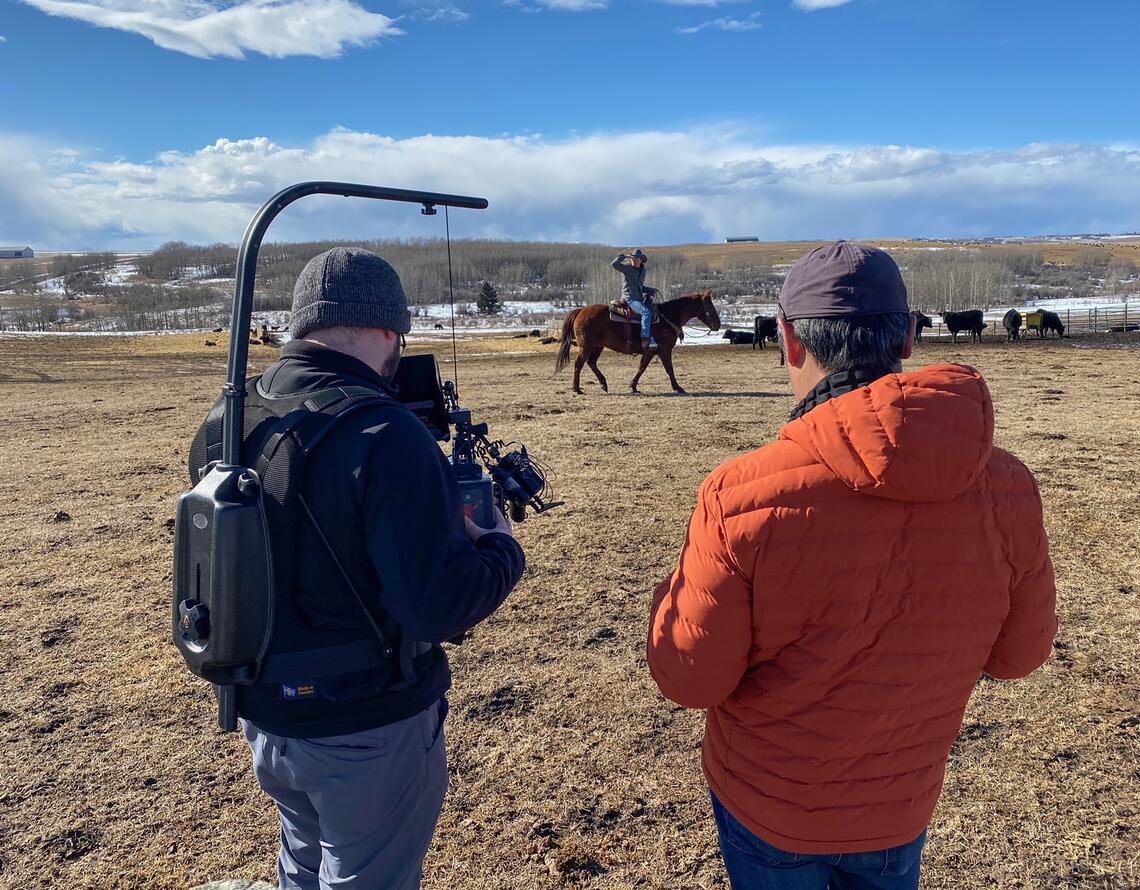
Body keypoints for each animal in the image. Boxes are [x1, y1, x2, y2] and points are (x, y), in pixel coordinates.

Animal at [554, 289, 720, 394]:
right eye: (710, 306)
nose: (718, 325)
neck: (667, 317)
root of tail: (580, 311)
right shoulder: (664, 350)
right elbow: (669, 369)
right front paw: (678, 387)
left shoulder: (651, 351)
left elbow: (642, 368)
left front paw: (633, 386)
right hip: (587, 346)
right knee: (579, 364)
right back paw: (577, 389)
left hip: (597, 346)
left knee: (591, 363)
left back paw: (603, 384)